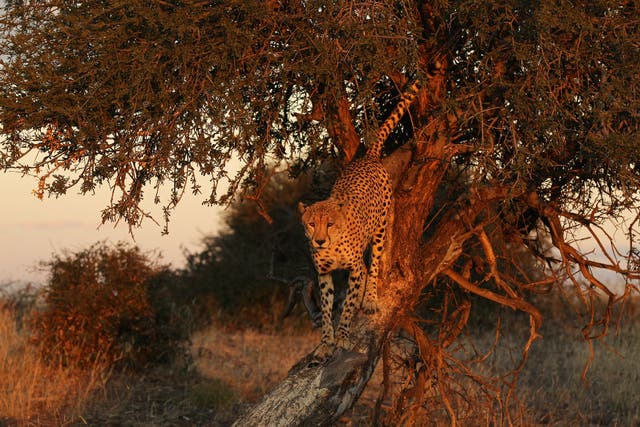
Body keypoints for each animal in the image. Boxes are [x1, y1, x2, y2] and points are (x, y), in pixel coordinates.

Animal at [298, 81, 420, 362]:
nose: (319, 241)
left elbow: (349, 303)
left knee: (372, 266)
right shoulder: (323, 273)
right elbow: (327, 309)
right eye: (311, 224)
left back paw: (371, 298)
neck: (332, 246)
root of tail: (369, 157)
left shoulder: (352, 268)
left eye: (330, 224)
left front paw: (343, 336)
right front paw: (326, 342)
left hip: (380, 230)